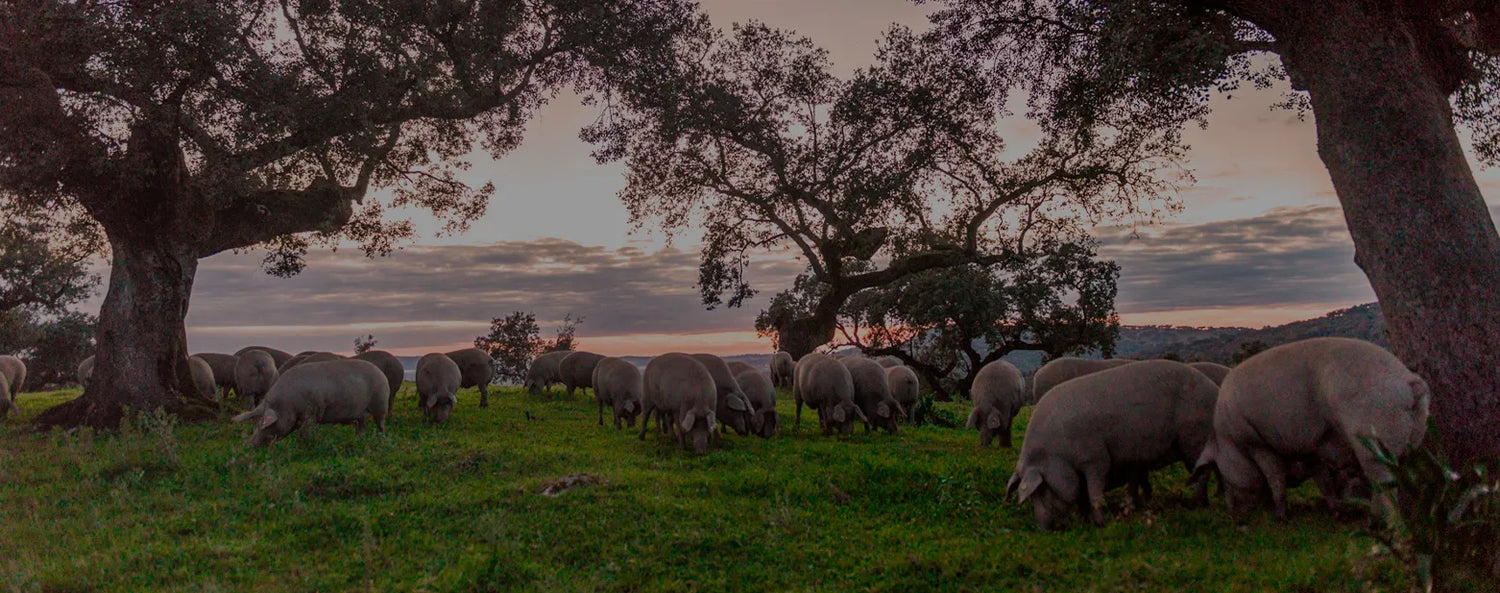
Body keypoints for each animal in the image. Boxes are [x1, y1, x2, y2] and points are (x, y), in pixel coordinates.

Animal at [229, 357, 390, 450]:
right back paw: (358, 441)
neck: (287, 404)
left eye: (263, 424)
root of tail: (381, 373)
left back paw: (381, 441)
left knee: (381, 425)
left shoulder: (313, 410)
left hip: (380, 403)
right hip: (360, 415)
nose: (249, 445)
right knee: (361, 428)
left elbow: (307, 431)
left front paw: (307, 445)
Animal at [1002, 360, 1224, 531]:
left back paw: (1194, 503)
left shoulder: (1095, 458)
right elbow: (1083, 496)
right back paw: (1210, 499)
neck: (1057, 453)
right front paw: (1085, 519)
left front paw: (1101, 523)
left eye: (1042, 490)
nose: (1045, 528)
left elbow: (1094, 492)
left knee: (1203, 472)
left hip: (1195, 438)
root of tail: (1215, 391)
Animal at [1188, 339, 1422, 519]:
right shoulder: (1311, 448)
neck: (1228, 439)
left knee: (1384, 484)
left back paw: (1382, 523)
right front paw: (1337, 513)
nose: (1233, 515)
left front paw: (1281, 517)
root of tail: (1409, 381)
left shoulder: (1258, 443)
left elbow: (1275, 478)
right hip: (1412, 442)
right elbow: (1323, 481)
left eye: (1221, 471)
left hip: (1373, 438)